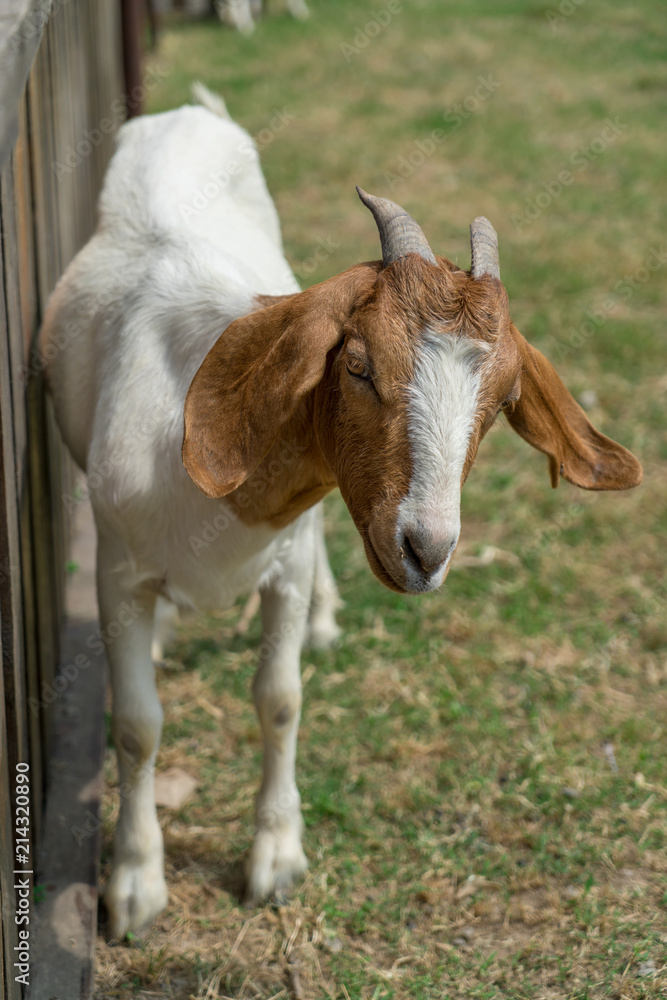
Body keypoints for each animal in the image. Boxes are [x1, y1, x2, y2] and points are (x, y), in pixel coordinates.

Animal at [37, 94, 640, 936]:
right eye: (357, 365)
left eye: (499, 403)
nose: (426, 548)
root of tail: (190, 108)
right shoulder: (118, 572)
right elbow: (136, 723)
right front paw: (133, 887)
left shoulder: (283, 565)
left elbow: (280, 699)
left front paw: (275, 860)